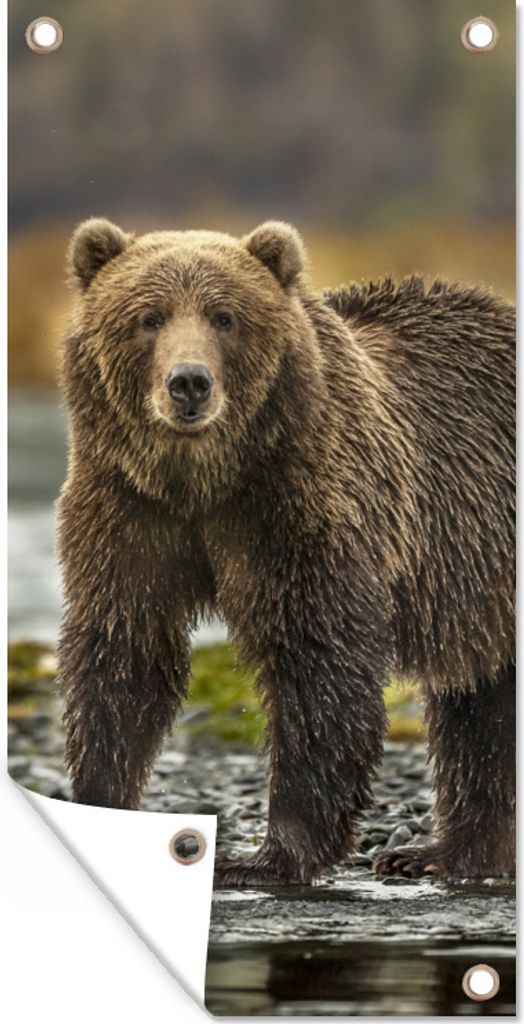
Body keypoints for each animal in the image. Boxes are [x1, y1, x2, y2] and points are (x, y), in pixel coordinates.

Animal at [57, 217, 515, 886]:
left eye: (225, 316)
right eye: (149, 316)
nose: (189, 382)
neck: (204, 481)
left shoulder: (301, 506)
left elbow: (316, 661)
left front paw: (265, 856)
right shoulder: (127, 507)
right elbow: (124, 652)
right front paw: (99, 805)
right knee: (481, 704)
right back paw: (443, 852)